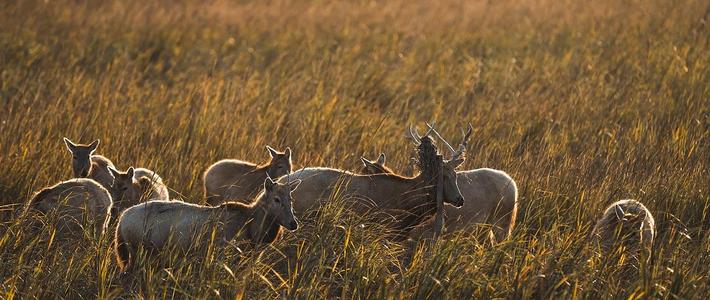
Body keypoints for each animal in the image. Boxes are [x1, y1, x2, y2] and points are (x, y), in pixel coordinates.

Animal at [116, 176, 304, 272]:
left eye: (291, 199)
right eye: (276, 199)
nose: (293, 223)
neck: (252, 225)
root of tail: (122, 219)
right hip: (136, 253)